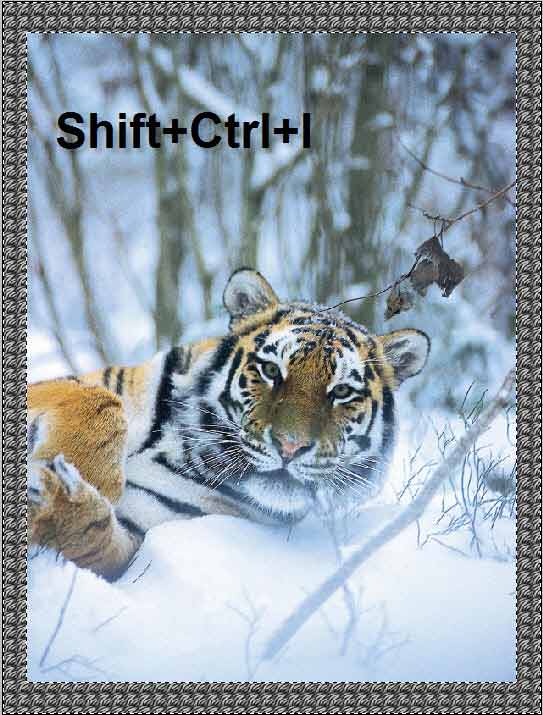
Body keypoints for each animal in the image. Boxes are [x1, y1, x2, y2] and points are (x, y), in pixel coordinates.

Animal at [27, 268, 430, 580]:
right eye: (271, 370)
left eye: (342, 391)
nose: (290, 446)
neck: (184, 448)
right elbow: (101, 400)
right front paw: (92, 473)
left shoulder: (137, 535)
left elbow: (92, 539)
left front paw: (56, 493)